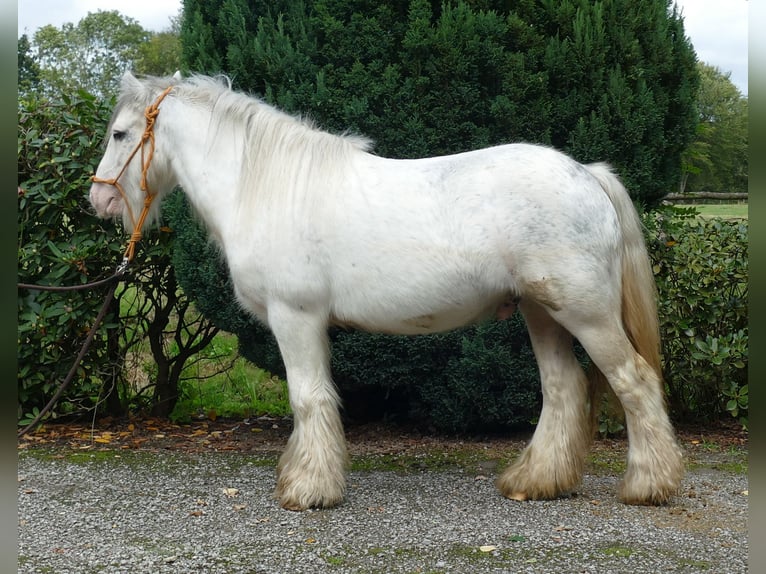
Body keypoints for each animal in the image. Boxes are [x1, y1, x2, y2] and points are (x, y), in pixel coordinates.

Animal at [88, 73, 684, 512]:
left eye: (119, 134)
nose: (99, 201)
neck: (266, 186)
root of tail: (587, 173)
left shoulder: (295, 317)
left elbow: (308, 397)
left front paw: (309, 490)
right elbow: (314, 399)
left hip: (587, 313)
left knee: (633, 381)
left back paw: (648, 485)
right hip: (543, 313)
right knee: (562, 389)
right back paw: (536, 481)